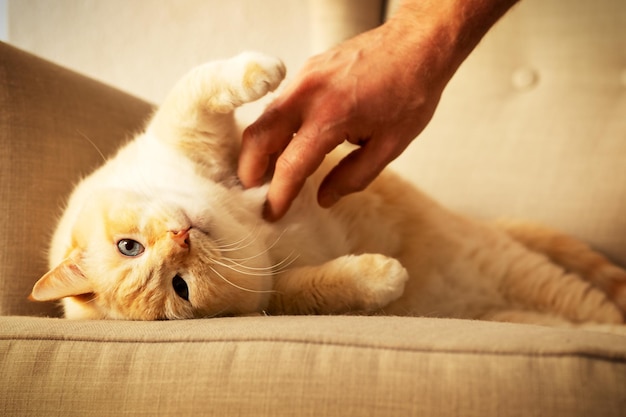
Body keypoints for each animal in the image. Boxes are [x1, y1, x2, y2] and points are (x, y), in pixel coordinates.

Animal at [29, 52, 624, 324]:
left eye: (128, 245)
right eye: (181, 288)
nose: (181, 237)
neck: (240, 225)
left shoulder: (187, 132)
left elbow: (205, 85)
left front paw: (265, 72)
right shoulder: (280, 294)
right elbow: (331, 285)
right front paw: (385, 276)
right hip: (535, 291)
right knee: (600, 319)